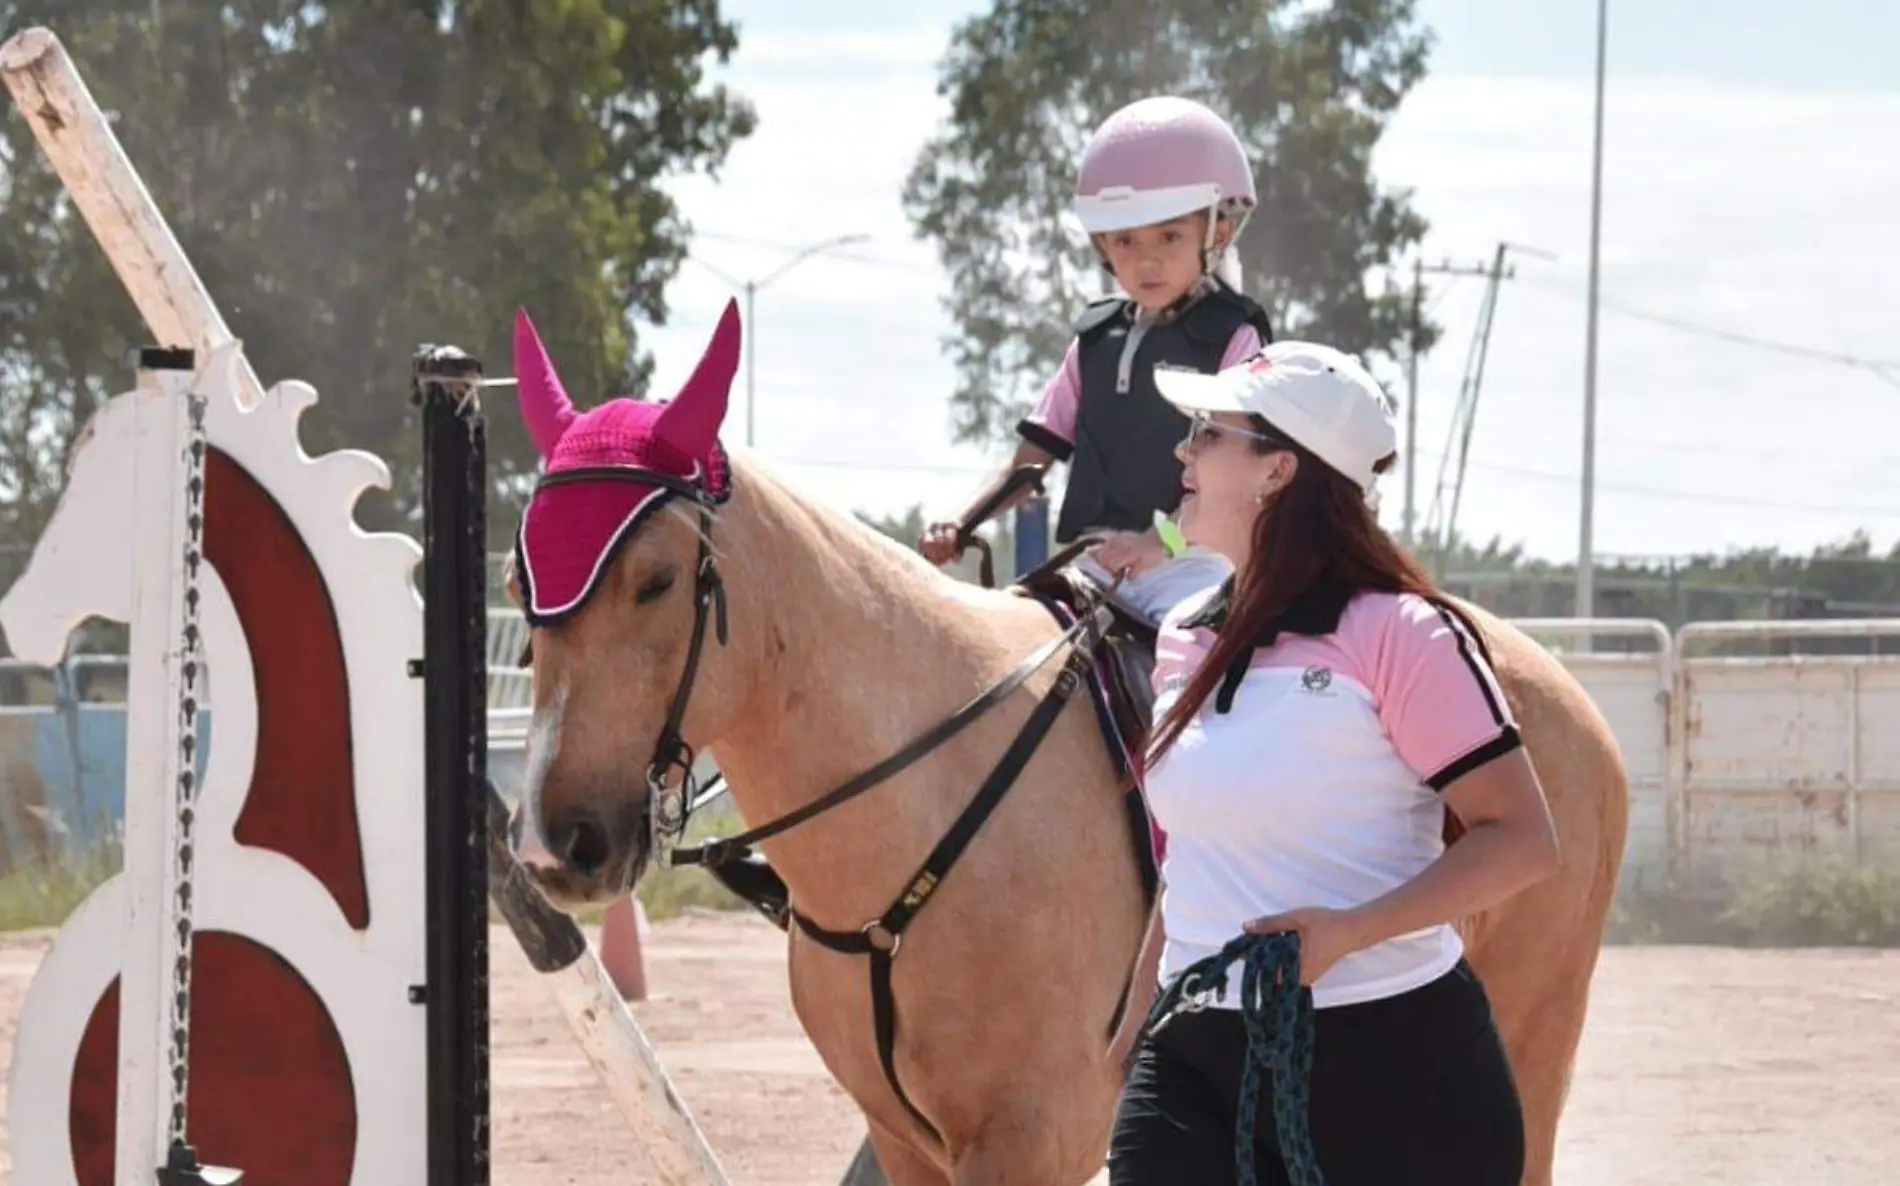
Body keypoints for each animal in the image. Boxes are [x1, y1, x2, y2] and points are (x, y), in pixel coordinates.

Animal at [509, 300, 1634, 1178]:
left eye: (656, 579)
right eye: (523, 580)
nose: (558, 843)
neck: (918, 806)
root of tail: (1571, 701)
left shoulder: (1027, 1139)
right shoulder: (911, 1145)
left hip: (1529, 1041)